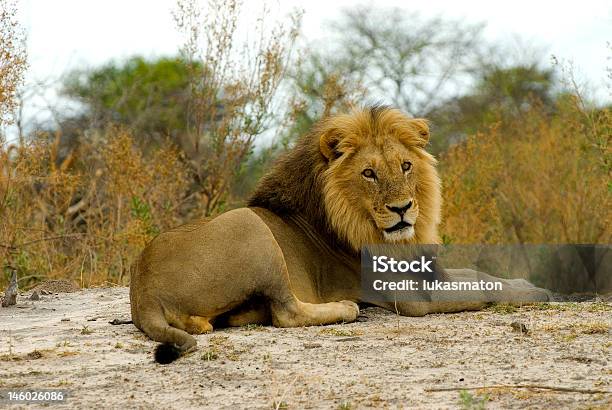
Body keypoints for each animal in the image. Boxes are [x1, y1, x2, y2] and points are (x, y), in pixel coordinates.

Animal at [130, 105, 548, 362]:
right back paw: (348, 308)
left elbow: (481, 275)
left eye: (406, 166)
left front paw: (527, 282)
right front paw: (539, 291)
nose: (402, 208)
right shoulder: (413, 297)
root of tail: (142, 291)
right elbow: (482, 286)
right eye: (369, 173)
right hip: (250, 228)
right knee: (287, 312)